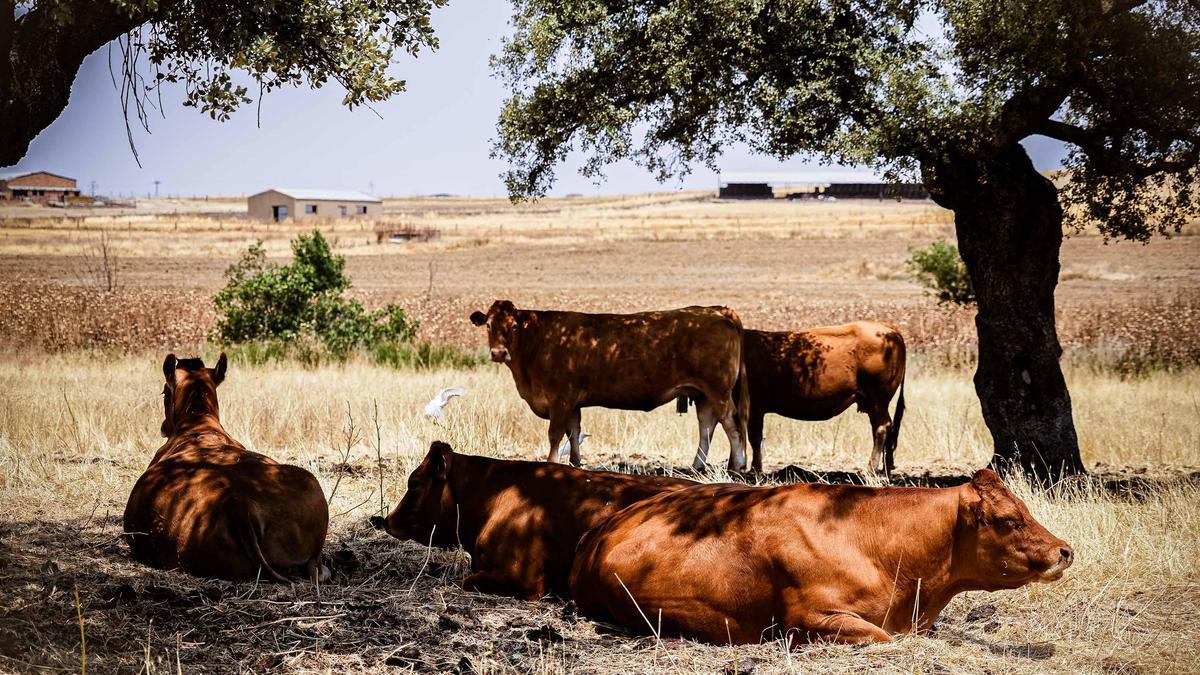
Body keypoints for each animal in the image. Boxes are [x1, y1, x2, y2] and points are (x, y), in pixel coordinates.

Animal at [465, 299, 748, 468]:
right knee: (707, 425)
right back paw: (697, 466)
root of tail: (715, 310)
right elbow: (574, 432)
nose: (498, 353)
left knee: (731, 423)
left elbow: (555, 434)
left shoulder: (561, 399)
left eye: (514, 326)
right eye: (488, 325)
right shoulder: (573, 404)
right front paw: (576, 464)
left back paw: (738, 465)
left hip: (718, 391)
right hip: (703, 394)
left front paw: (552, 463)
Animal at [681, 324, 902, 475]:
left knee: (882, 428)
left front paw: (754, 468)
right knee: (888, 428)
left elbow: (752, 437)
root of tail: (889, 329)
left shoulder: (755, 408)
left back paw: (872, 468)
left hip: (877, 399)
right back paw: (886, 467)